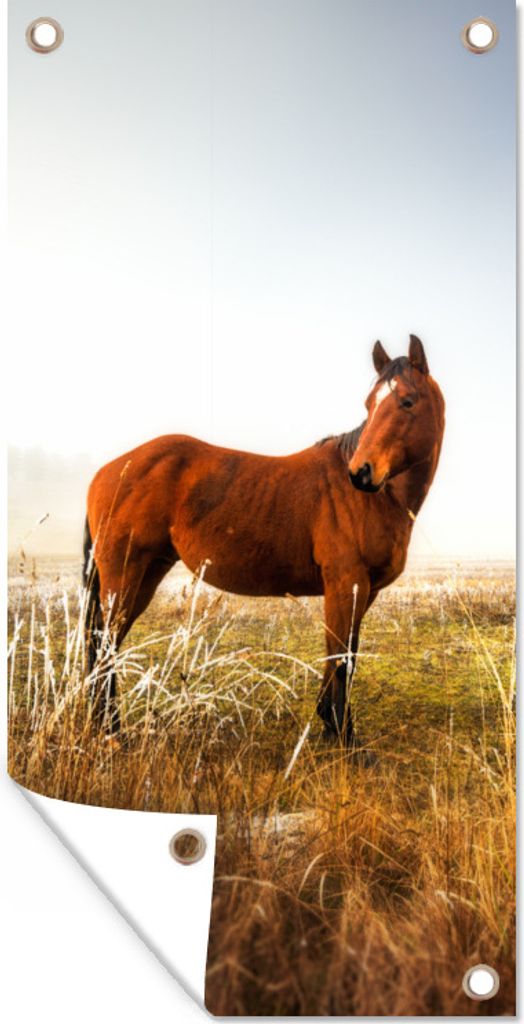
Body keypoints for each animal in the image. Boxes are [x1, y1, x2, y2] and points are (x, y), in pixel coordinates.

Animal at [83, 334, 445, 746]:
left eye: (407, 401)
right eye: (370, 404)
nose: (361, 473)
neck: (380, 499)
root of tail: (108, 471)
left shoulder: (363, 591)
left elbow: (341, 655)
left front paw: (330, 724)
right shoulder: (346, 584)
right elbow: (341, 659)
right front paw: (343, 738)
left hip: (145, 575)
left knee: (106, 643)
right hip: (124, 575)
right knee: (106, 644)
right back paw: (111, 731)